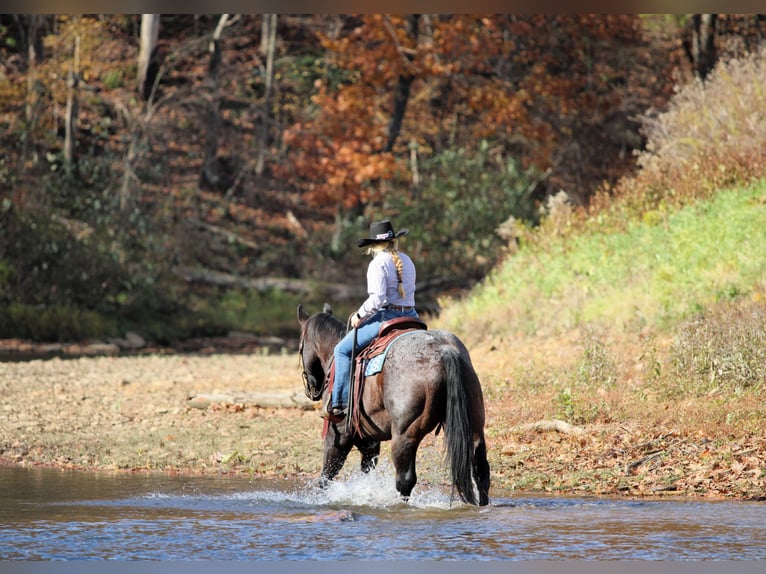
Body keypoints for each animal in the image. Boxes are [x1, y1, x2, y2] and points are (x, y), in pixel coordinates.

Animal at [297, 303, 490, 506]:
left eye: (300, 348)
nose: (311, 389)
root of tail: (445, 351)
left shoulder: (339, 434)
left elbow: (326, 476)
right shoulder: (369, 442)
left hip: (404, 436)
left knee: (405, 480)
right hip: (474, 425)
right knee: (481, 470)